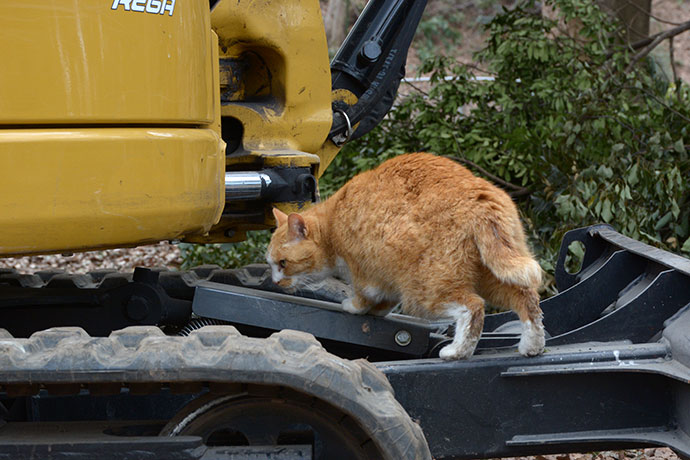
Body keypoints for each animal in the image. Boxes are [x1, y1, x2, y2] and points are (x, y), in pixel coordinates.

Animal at [268, 153, 544, 362]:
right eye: (272, 265)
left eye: (283, 263)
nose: (274, 282)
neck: (333, 222)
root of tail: (479, 199)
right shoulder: (388, 275)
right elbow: (385, 302)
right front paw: (377, 312)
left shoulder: (364, 271)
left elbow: (364, 297)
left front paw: (353, 307)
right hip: (495, 274)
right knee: (528, 301)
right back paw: (532, 346)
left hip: (425, 291)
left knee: (473, 307)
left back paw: (457, 352)